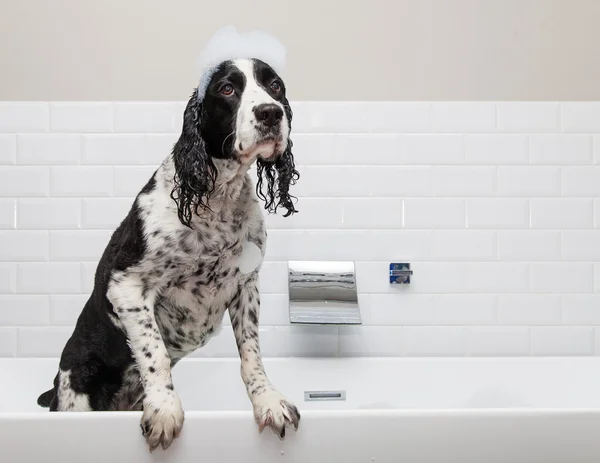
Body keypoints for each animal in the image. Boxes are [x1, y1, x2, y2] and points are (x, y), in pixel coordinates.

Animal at [35, 53, 300, 450]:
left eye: (275, 85)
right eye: (227, 88)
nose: (270, 112)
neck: (216, 200)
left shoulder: (246, 286)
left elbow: (251, 354)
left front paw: (268, 400)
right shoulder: (127, 286)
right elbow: (153, 352)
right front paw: (164, 410)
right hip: (75, 391)